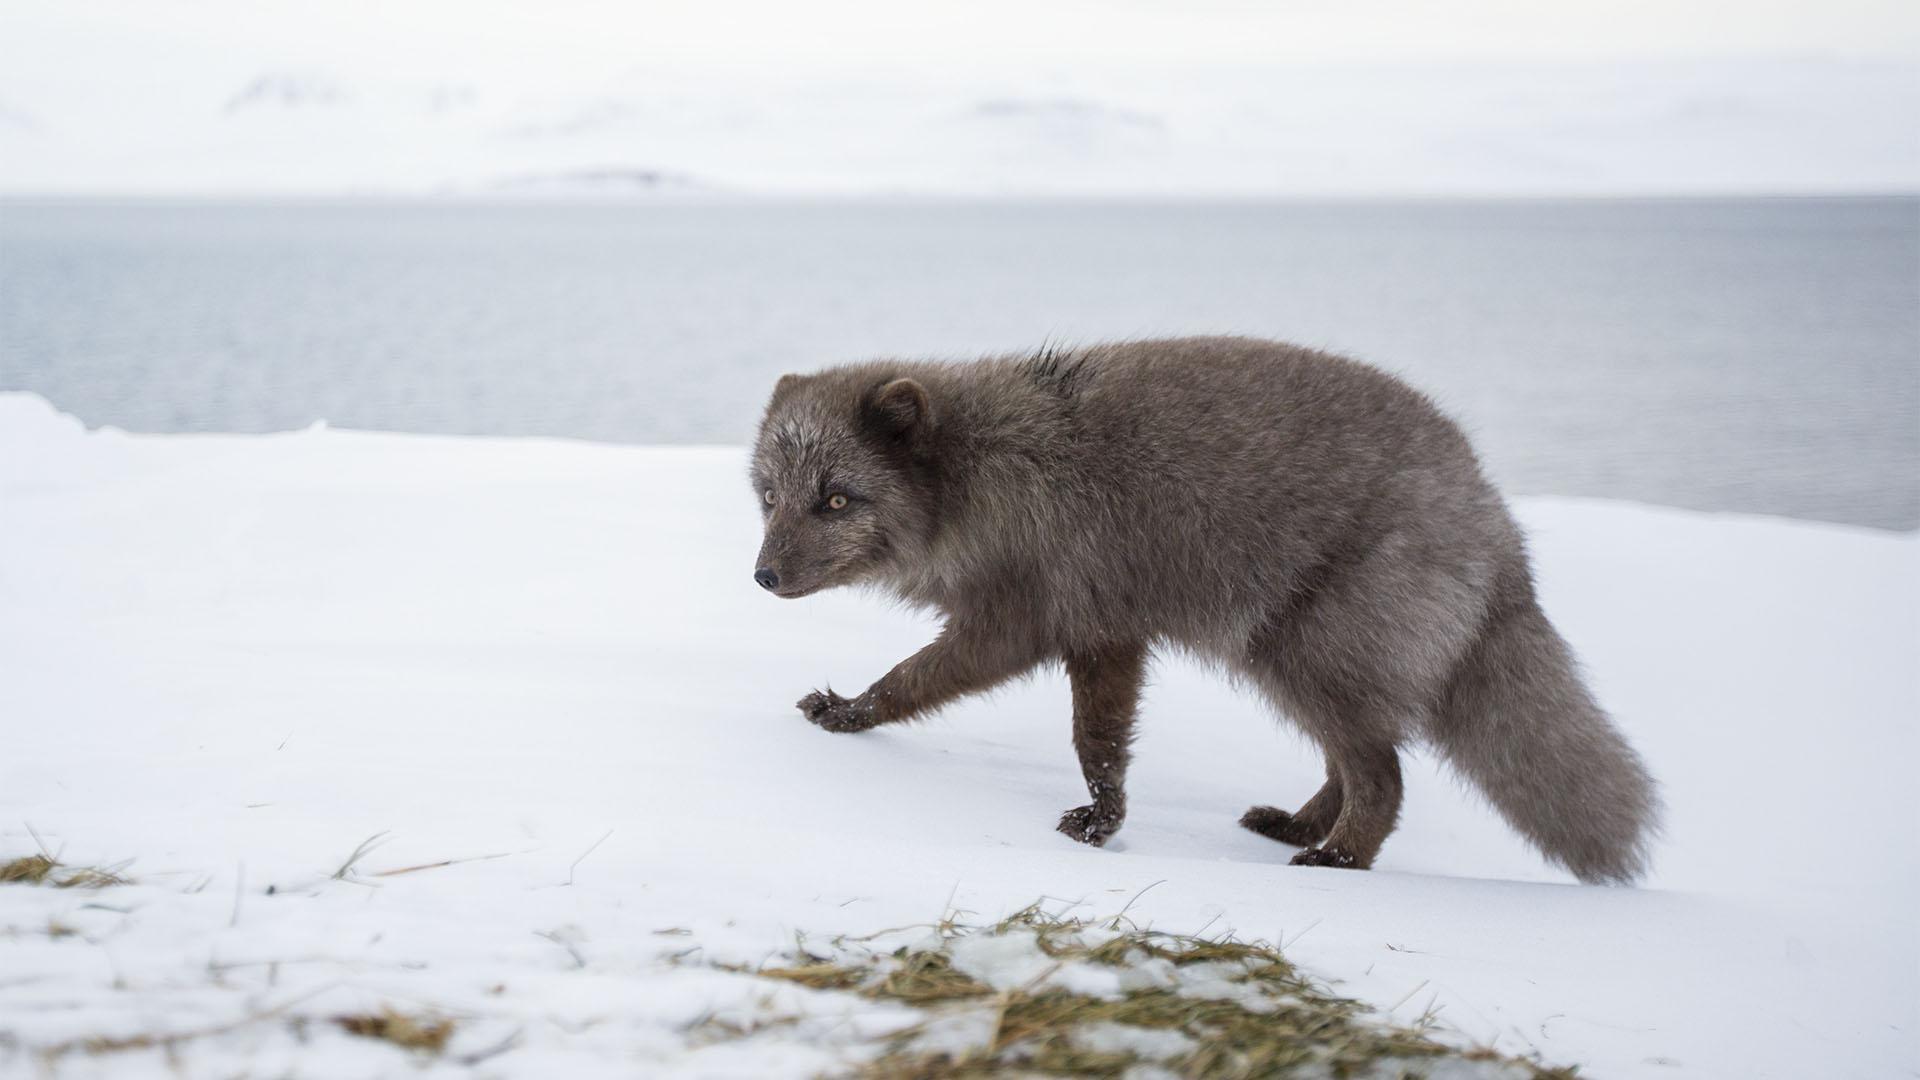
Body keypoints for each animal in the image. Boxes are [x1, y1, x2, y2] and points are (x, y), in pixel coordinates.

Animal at [756, 336, 1658, 883]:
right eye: (770, 496)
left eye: (836, 500)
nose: (761, 576)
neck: (986, 470)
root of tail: (1496, 519)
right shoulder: (1109, 632)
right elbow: (1102, 744)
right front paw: (1107, 817)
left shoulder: (1023, 620)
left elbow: (913, 679)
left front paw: (849, 713)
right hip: (1288, 663)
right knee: (1352, 766)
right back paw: (1296, 828)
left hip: (1312, 657)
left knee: (1386, 777)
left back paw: (1338, 862)